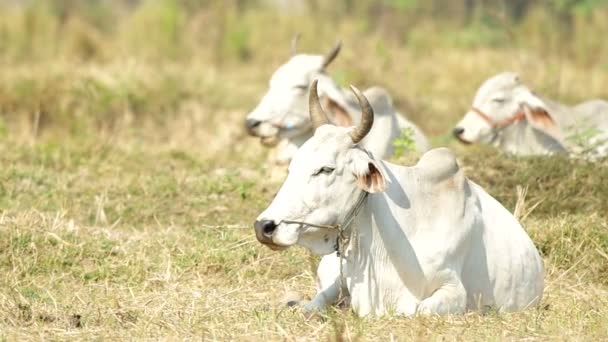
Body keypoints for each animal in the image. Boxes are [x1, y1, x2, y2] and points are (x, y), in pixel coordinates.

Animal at [254, 81, 544, 316]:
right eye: (293, 165)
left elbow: (415, 310)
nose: (264, 226)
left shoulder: (453, 290)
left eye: (326, 169)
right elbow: (313, 304)